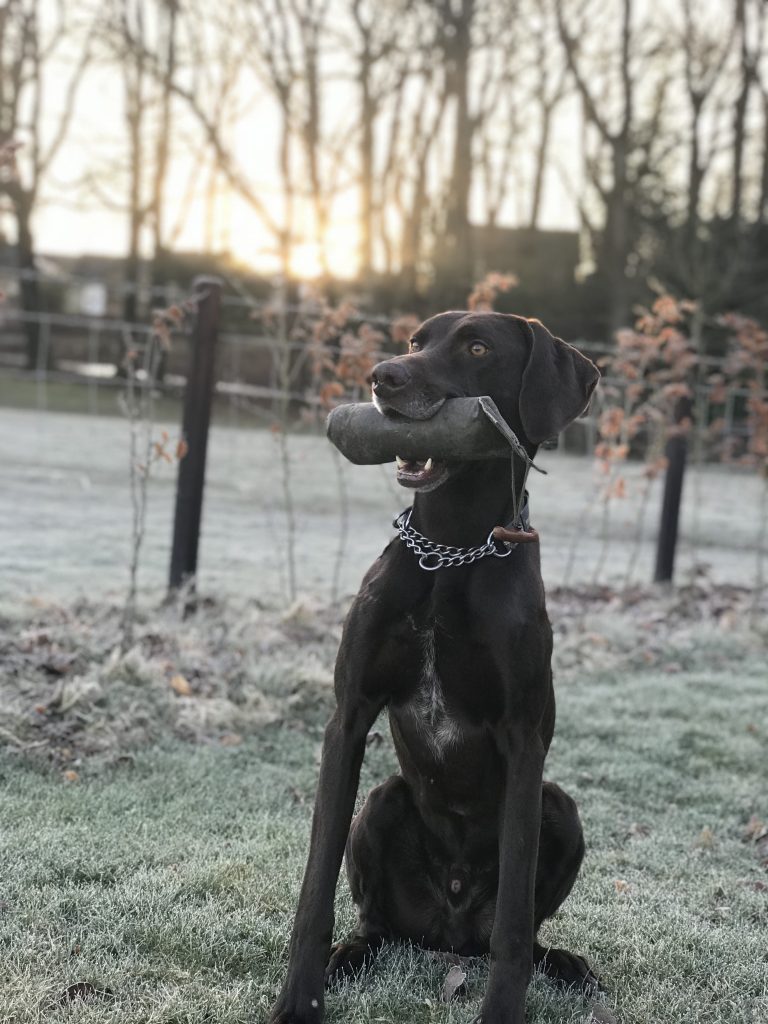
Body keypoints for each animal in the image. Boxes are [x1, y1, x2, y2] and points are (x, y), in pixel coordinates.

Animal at [268, 311, 602, 1024]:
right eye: (417, 342)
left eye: (477, 347)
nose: (382, 377)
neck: (450, 548)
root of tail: (447, 931)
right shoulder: (348, 718)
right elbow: (315, 886)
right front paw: (298, 1000)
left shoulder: (524, 740)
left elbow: (512, 924)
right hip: (381, 802)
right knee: (376, 924)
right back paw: (348, 957)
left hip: (559, 807)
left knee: (520, 929)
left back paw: (565, 965)